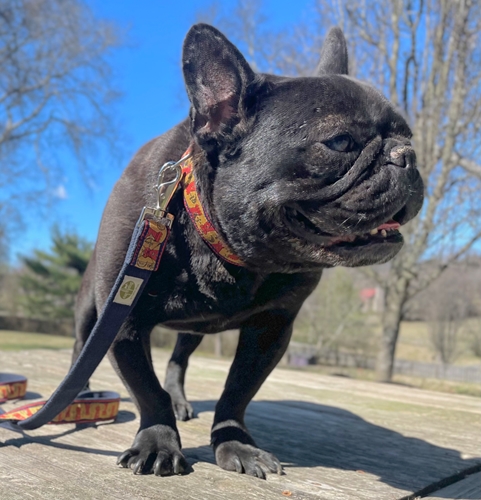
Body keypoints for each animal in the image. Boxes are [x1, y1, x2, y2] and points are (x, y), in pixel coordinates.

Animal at [73, 24, 422, 480]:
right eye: (339, 142)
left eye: (409, 137)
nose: (407, 156)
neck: (232, 251)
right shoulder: (123, 321)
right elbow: (146, 390)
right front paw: (158, 442)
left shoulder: (271, 329)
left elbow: (237, 391)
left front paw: (236, 443)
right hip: (92, 309)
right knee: (83, 346)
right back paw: (80, 393)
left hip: (192, 330)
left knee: (178, 360)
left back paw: (181, 400)